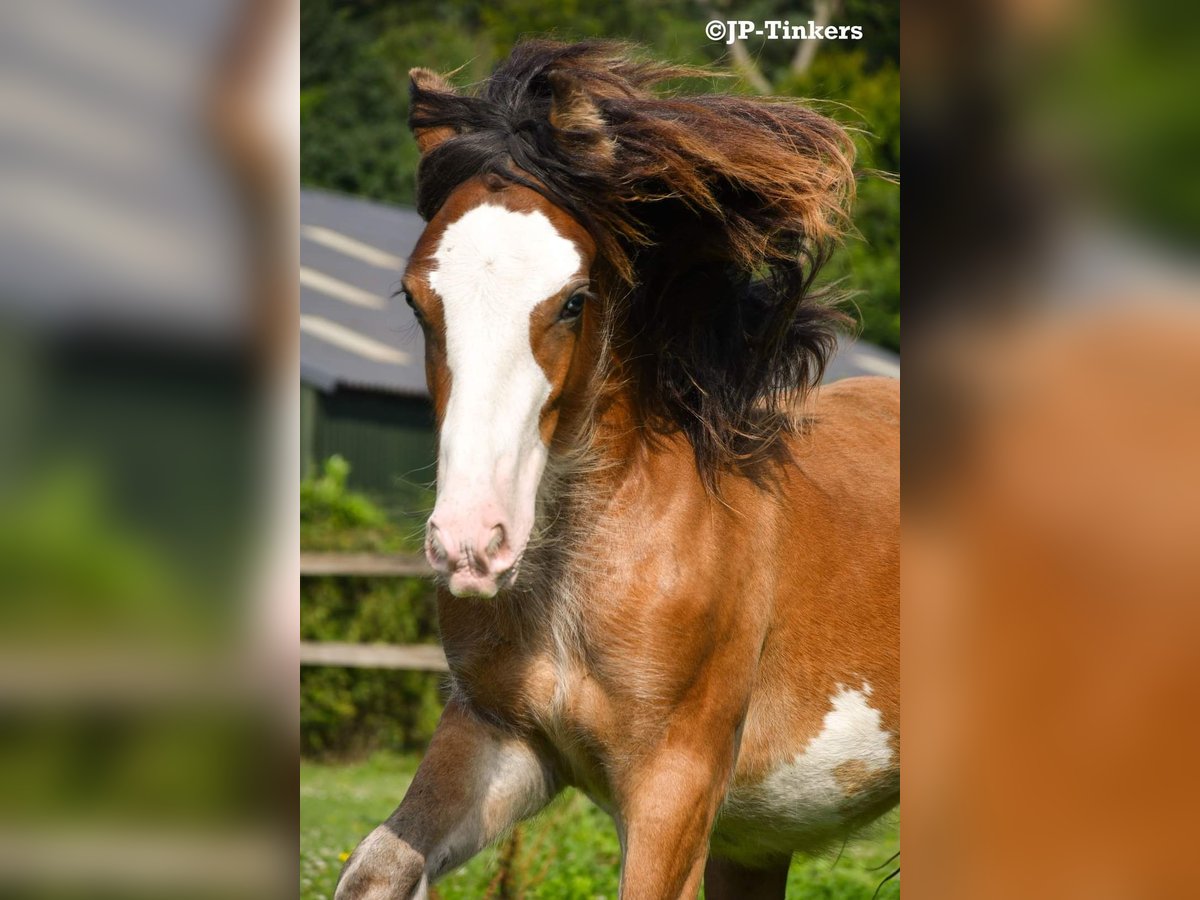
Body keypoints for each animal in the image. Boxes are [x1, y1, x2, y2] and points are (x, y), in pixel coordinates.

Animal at [333, 40, 897, 900]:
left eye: (573, 300)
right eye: (415, 298)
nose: (470, 543)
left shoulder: (676, 783)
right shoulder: (501, 738)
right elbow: (377, 869)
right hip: (757, 842)